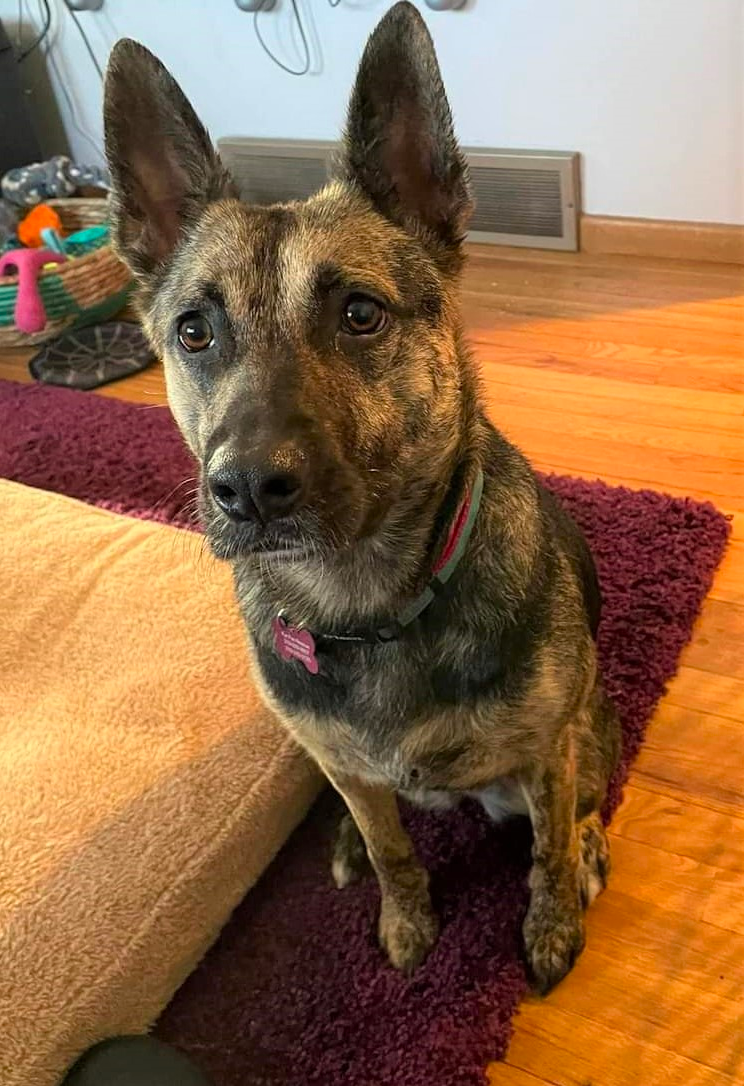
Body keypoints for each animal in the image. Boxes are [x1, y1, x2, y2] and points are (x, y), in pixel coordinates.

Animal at [102, 2, 621, 994]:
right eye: (194, 331)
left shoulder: (547, 750)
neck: (366, 606)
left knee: (577, 799)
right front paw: (403, 914)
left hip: (588, 726)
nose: (247, 490)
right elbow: (391, 848)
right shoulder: (347, 764)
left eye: (360, 315)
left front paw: (551, 920)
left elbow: (545, 848)